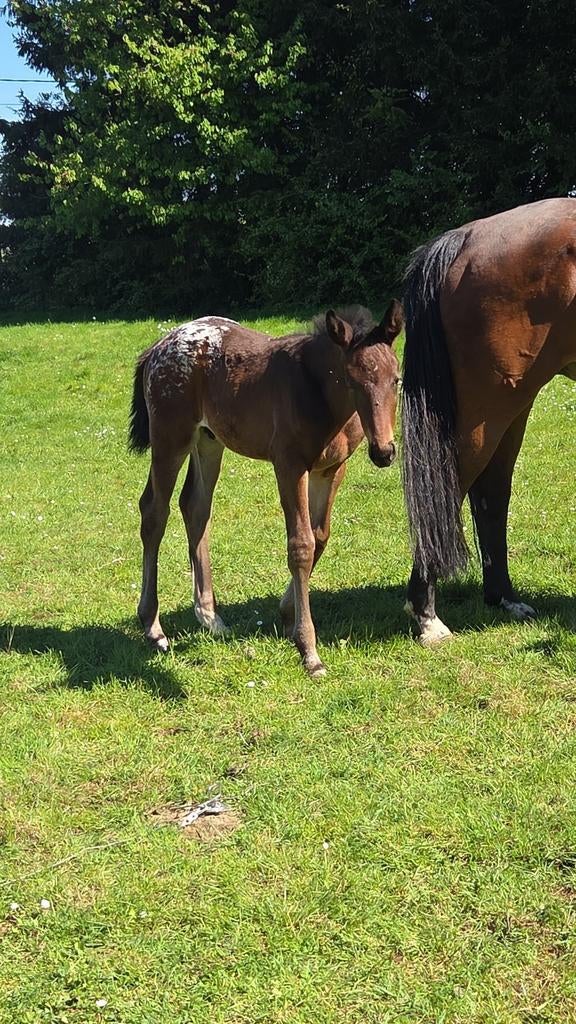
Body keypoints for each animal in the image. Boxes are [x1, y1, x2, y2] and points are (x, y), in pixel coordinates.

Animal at [129, 303, 404, 675]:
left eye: (396, 379)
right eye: (351, 381)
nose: (383, 452)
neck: (317, 392)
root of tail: (159, 346)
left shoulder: (331, 469)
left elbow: (320, 536)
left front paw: (287, 615)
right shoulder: (289, 465)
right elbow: (301, 544)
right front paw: (308, 649)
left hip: (208, 440)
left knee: (195, 506)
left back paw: (210, 617)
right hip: (170, 438)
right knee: (155, 511)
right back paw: (153, 628)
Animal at [401, 197, 576, 644]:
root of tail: (467, 237)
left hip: (512, 407)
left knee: (491, 492)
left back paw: (504, 598)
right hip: (488, 411)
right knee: (453, 490)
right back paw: (428, 617)